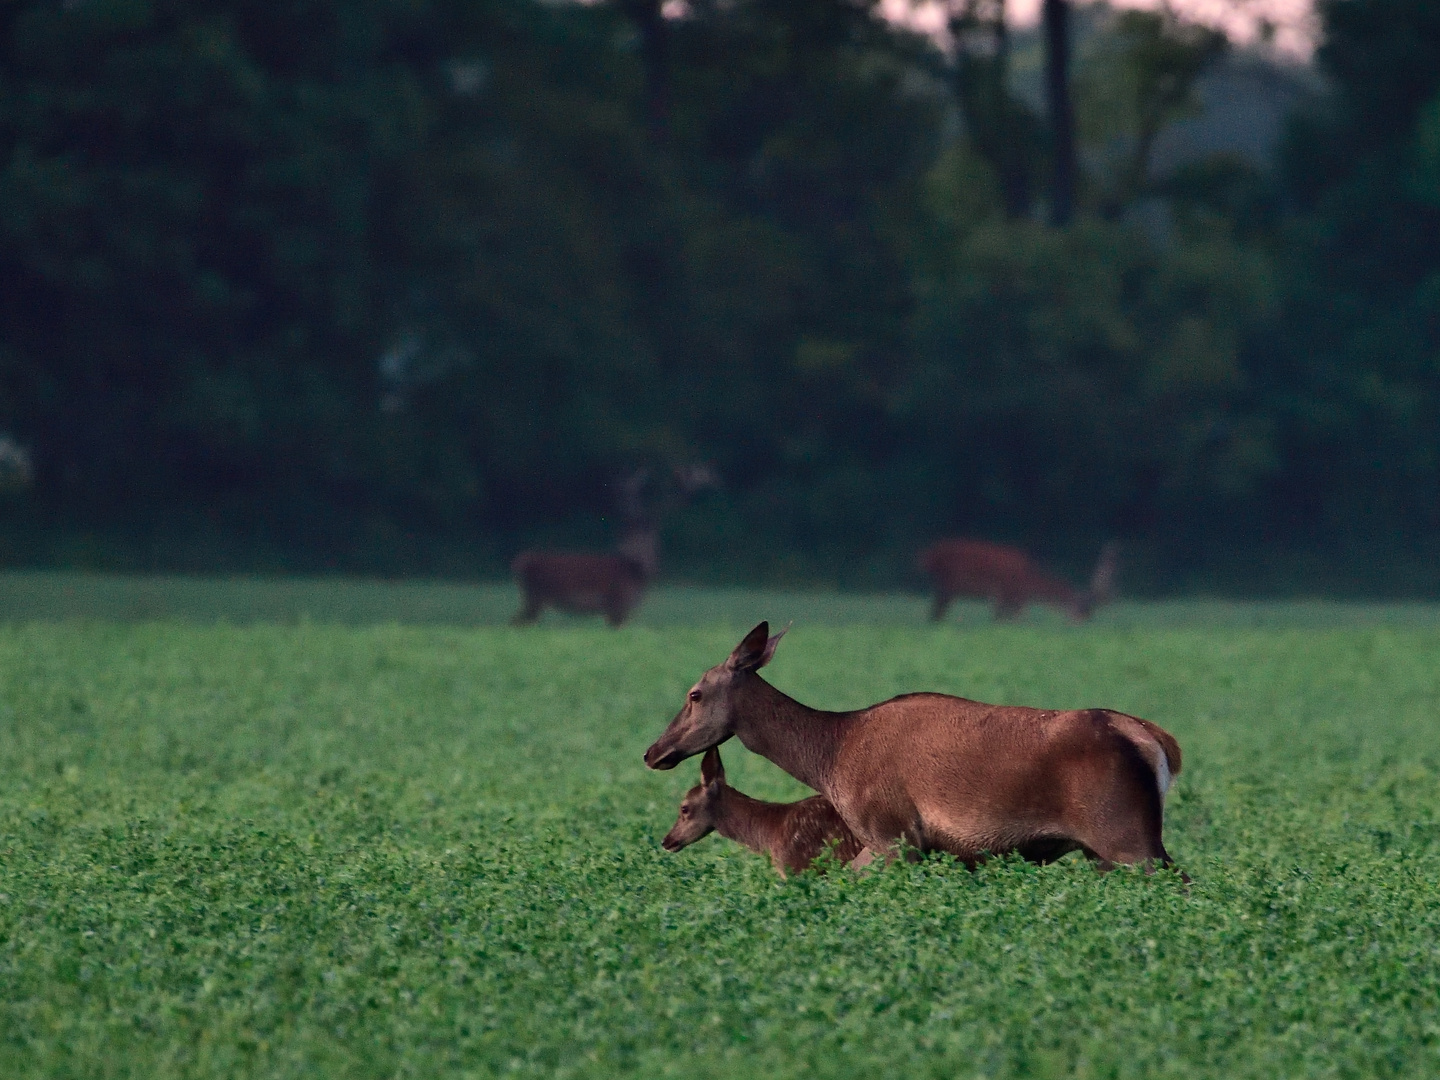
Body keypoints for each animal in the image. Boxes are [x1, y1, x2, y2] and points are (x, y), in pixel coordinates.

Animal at [509, 463, 717, 630]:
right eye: (629, 524)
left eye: (642, 525)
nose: (625, 543)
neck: (638, 572)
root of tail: (521, 561)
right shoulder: (618, 604)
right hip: (535, 595)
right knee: (515, 622)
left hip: (533, 598)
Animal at [915, 541, 1117, 624]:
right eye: (1082, 609)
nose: (1082, 622)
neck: (1030, 582)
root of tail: (927, 557)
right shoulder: (1008, 593)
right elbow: (1007, 619)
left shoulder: (1010, 598)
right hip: (947, 583)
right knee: (936, 612)